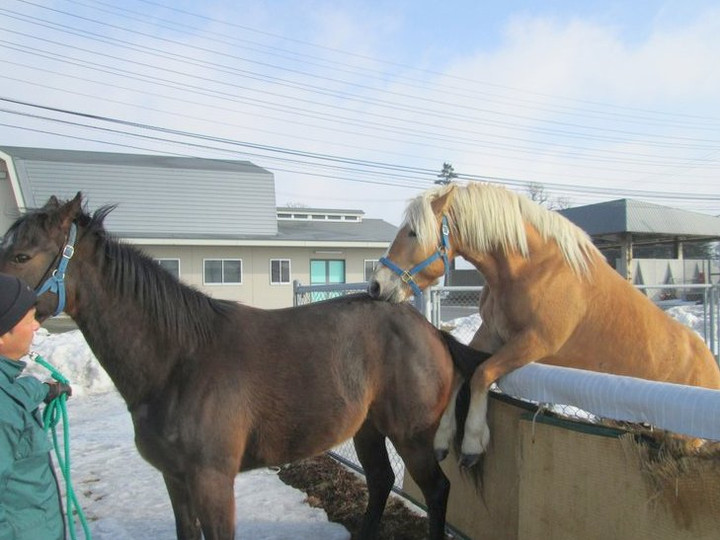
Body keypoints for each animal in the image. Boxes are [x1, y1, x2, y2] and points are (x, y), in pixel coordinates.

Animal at [0, 194, 490, 540]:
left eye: (22, 256)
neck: (178, 361)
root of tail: (430, 331)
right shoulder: (176, 480)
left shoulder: (212, 482)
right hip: (368, 429)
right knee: (381, 481)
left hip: (411, 437)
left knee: (436, 492)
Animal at [372, 182, 720, 468]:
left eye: (413, 233)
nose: (377, 285)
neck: (533, 268)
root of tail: (710, 364)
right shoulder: (492, 333)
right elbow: (461, 372)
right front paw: (443, 439)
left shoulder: (534, 342)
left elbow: (482, 373)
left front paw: (472, 442)